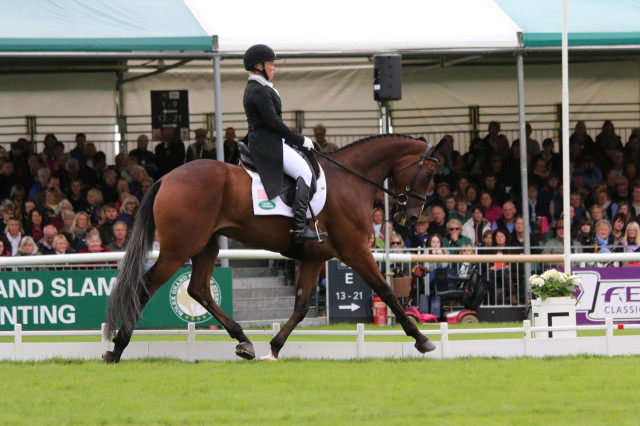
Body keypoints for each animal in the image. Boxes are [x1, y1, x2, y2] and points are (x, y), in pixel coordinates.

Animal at [105, 135, 442, 362]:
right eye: (428, 174)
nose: (411, 219)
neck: (350, 180)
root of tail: (166, 177)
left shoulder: (313, 257)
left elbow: (302, 306)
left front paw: (275, 347)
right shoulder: (355, 251)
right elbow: (386, 291)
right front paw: (422, 339)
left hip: (206, 245)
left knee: (198, 289)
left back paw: (244, 342)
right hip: (179, 248)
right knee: (147, 285)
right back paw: (118, 347)